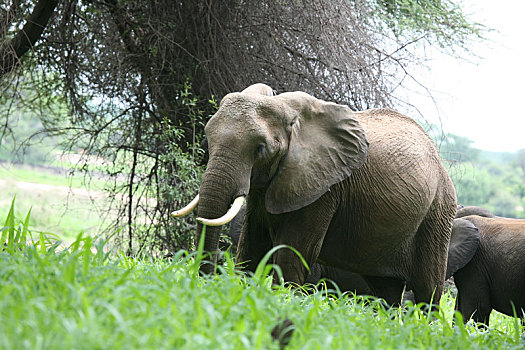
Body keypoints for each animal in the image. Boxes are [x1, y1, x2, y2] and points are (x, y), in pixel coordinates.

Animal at [174, 83, 456, 304]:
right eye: (207, 138)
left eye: (260, 148)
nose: (204, 283)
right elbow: (252, 246)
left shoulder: (324, 188)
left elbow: (293, 252)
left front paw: (281, 302)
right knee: (385, 291)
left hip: (439, 211)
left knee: (428, 290)